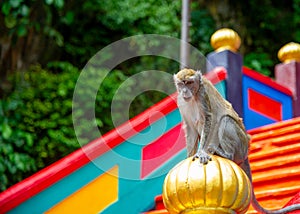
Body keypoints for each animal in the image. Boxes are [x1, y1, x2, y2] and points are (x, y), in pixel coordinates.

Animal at [173, 68, 300, 214]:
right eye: (181, 84)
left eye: (189, 83)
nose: (185, 92)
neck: (194, 95)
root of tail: (246, 152)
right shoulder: (181, 102)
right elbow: (190, 128)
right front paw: (189, 156)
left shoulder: (202, 95)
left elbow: (209, 119)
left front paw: (201, 152)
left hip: (241, 144)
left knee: (225, 119)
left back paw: (224, 154)